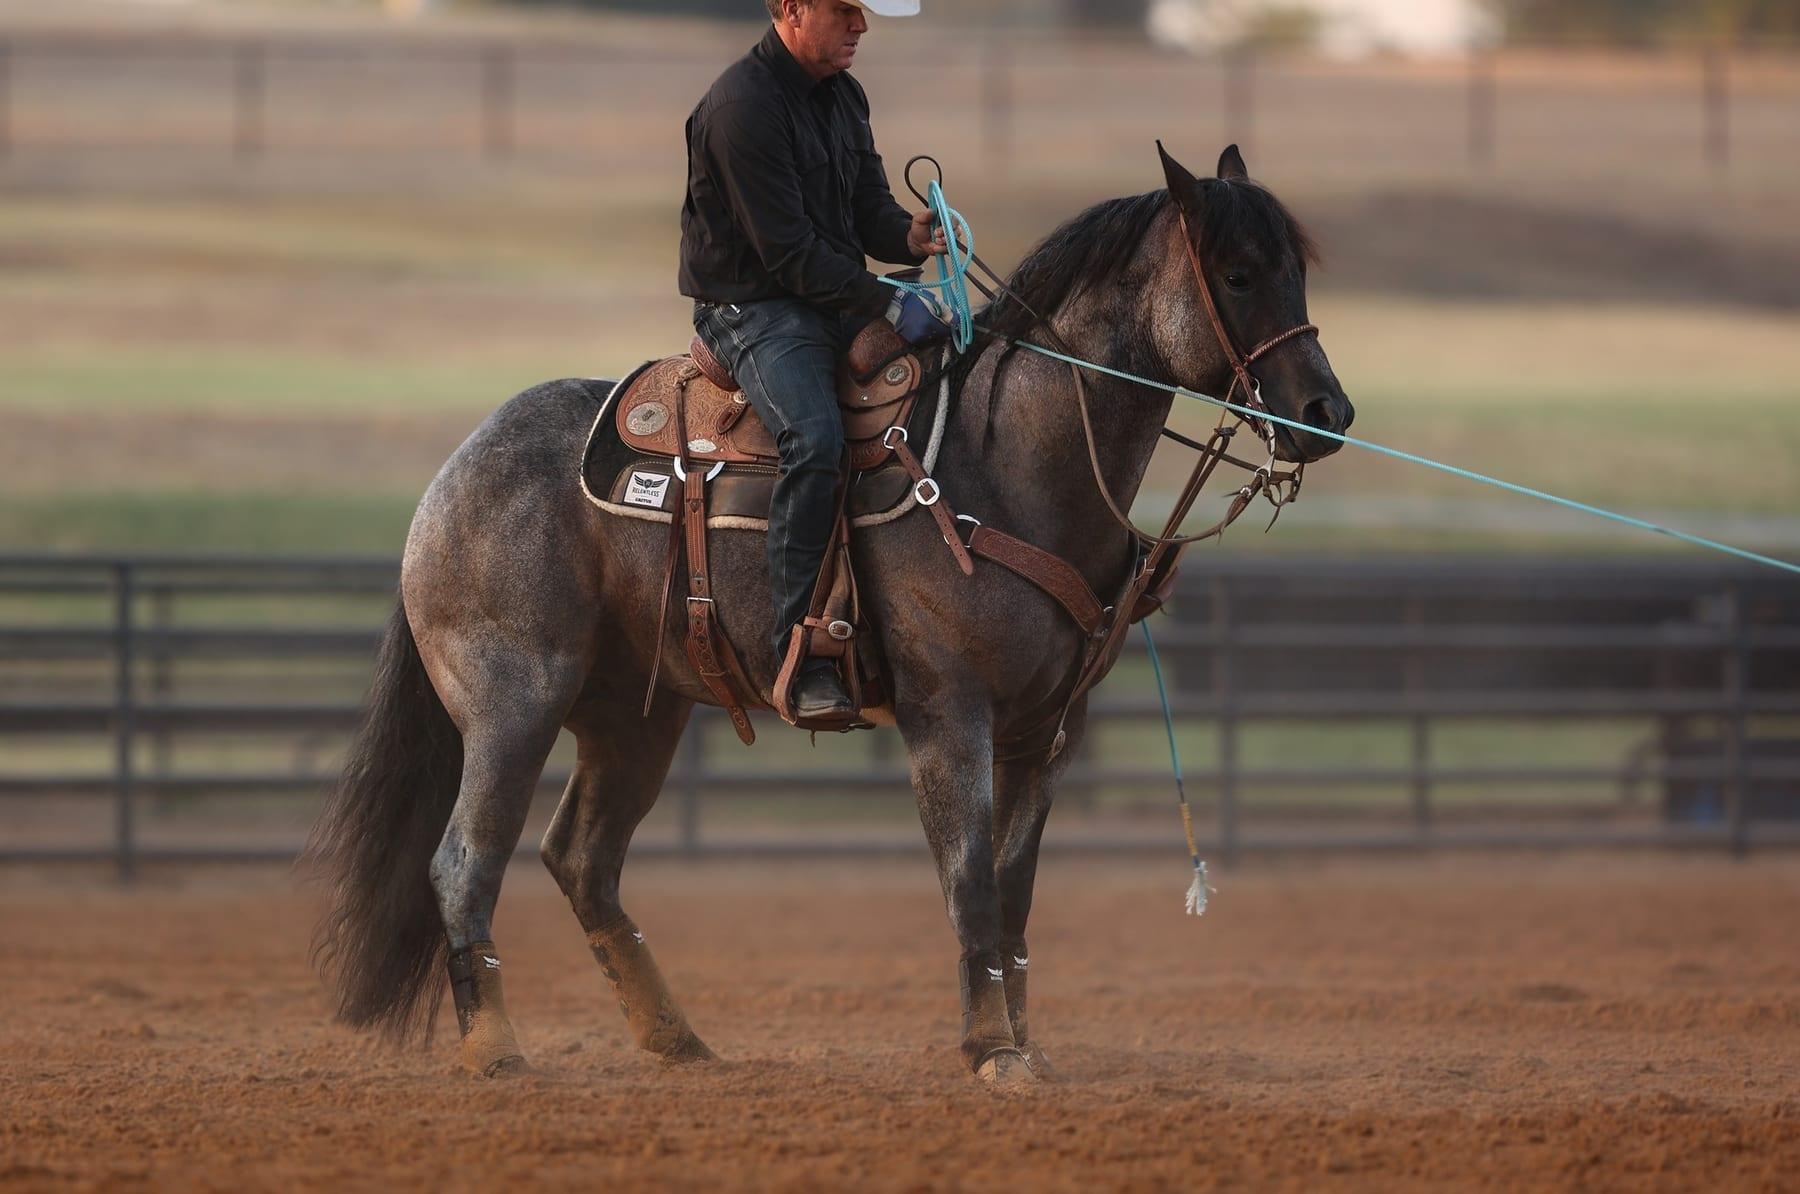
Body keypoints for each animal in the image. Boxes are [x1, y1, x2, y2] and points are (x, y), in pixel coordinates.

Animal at [304, 143, 1354, 1088]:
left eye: (1295, 269)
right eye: (1238, 272)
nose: (1326, 412)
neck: (1008, 459)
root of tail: (456, 468)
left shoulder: (1046, 732)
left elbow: (1014, 895)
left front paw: (1023, 1041)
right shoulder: (948, 718)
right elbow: (972, 883)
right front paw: (990, 1052)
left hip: (635, 715)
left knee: (582, 860)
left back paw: (678, 1041)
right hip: (512, 703)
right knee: (464, 863)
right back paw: (497, 1052)